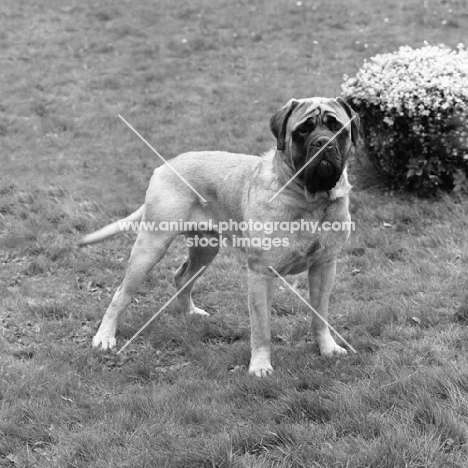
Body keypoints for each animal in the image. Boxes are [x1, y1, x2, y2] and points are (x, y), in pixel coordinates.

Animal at [78, 98, 360, 376]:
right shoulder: (261, 273)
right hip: (151, 246)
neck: (308, 199)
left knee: (182, 277)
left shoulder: (324, 266)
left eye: (337, 127)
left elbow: (320, 314)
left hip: (205, 248)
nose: (324, 143)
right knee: (121, 294)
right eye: (303, 130)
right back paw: (104, 337)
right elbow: (262, 328)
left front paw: (327, 348)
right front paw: (260, 366)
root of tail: (165, 166)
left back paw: (190, 312)